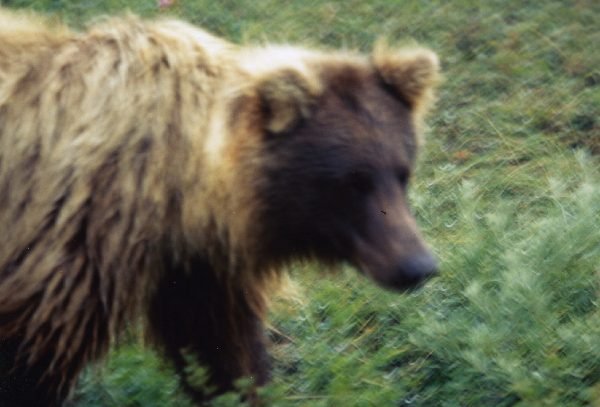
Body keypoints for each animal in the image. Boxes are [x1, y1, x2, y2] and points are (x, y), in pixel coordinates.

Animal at [0, 7, 440, 407]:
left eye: (402, 173)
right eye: (352, 181)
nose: (418, 266)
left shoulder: (197, 266)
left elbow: (222, 351)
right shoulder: (69, 241)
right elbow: (31, 362)